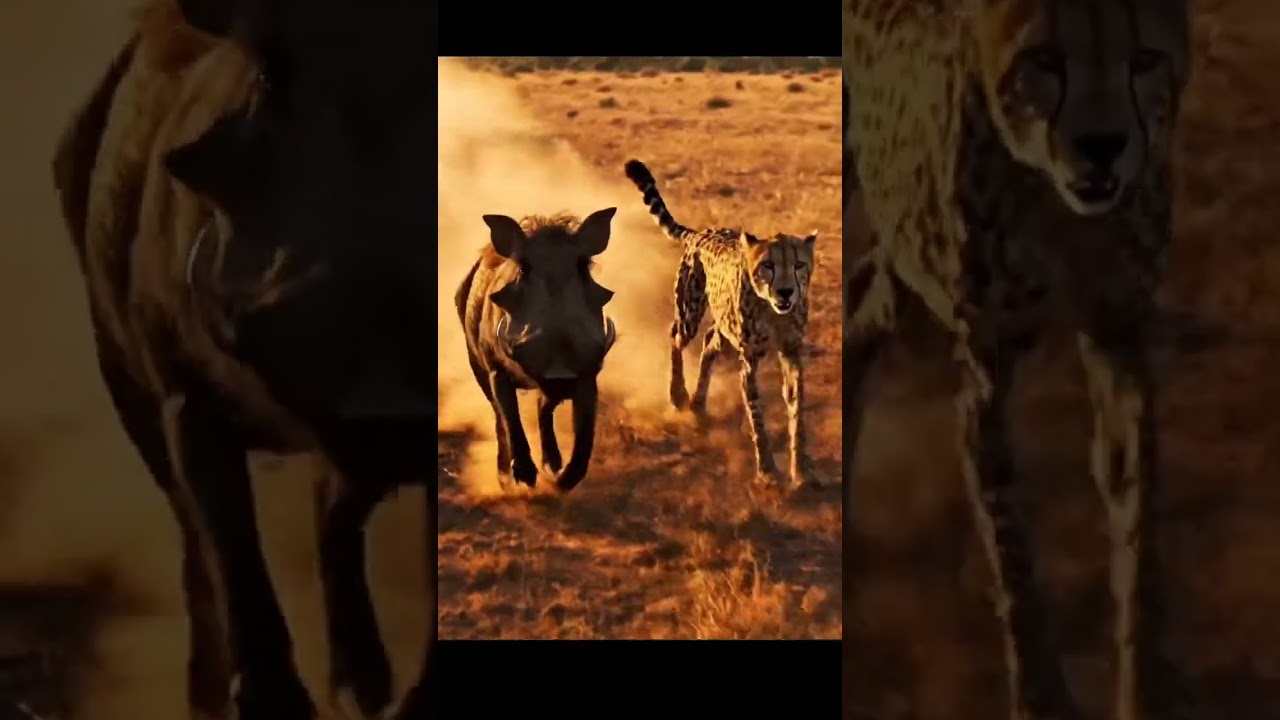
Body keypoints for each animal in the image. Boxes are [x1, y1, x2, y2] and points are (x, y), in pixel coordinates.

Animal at [624, 159, 819, 490]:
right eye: (767, 266)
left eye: (799, 265)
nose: (785, 292)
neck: (774, 313)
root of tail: (702, 233)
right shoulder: (749, 363)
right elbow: (757, 419)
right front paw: (767, 471)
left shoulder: (791, 353)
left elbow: (798, 413)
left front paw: (801, 470)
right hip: (690, 311)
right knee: (676, 337)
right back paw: (679, 395)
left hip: (726, 332)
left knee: (710, 342)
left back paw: (698, 403)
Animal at [843, 2, 1192, 720]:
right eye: (1045, 61)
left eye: (1144, 60)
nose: (1101, 145)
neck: (1064, 209)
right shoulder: (986, 376)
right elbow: (1014, 561)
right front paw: (1040, 699)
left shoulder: (1117, 339)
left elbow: (1137, 532)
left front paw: (1142, 693)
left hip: (904, 259)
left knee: (862, 302)